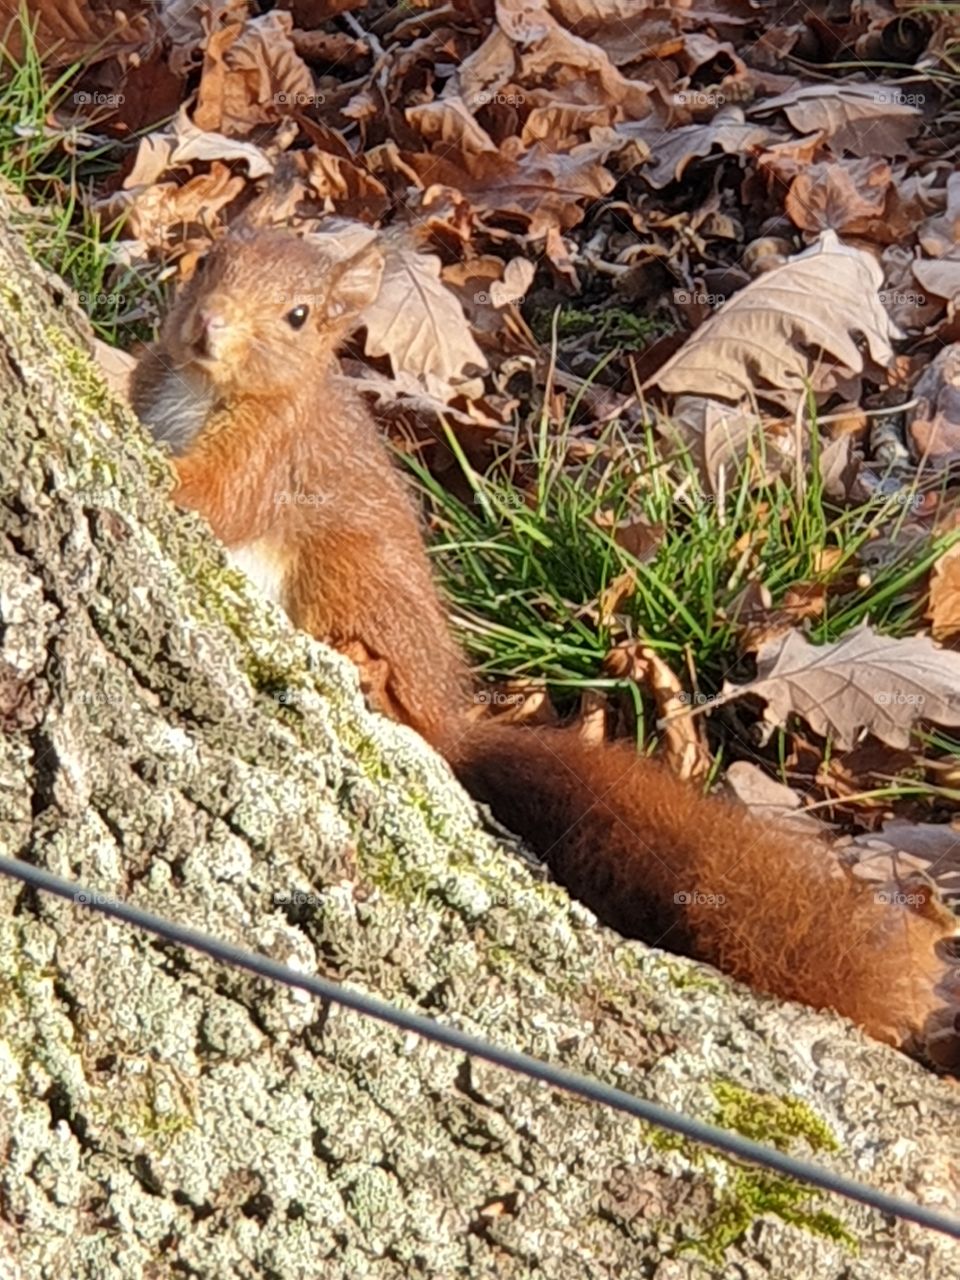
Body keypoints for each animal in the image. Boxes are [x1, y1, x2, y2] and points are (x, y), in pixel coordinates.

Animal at [131, 225, 958, 1070]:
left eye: (298, 315)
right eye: (210, 260)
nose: (208, 326)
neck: (202, 388)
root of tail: (454, 720)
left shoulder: (269, 457)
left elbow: (208, 495)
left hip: (348, 576)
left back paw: (377, 680)